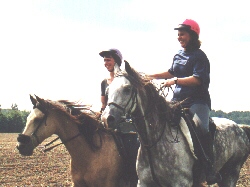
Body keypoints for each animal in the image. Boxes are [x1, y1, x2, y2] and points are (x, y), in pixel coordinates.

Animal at [101, 60, 250, 186]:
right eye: (107, 90)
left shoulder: (180, 183)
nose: (107, 118)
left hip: (230, 174)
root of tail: (240, 129)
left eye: (127, 89)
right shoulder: (144, 183)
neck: (155, 141)